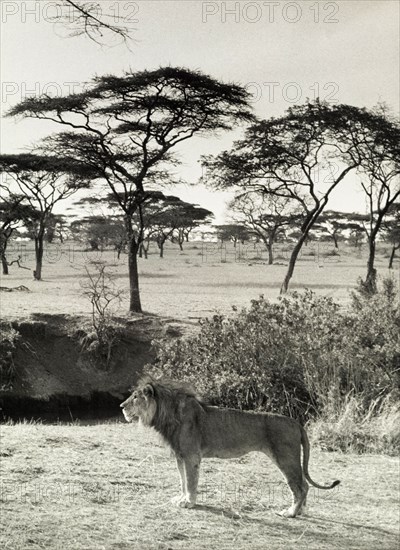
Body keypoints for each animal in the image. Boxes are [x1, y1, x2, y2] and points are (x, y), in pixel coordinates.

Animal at [120, 378, 340, 520]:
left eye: (135, 397)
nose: (121, 406)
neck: (166, 414)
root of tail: (296, 423)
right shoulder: (180, 455)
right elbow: (182, 481)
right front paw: (181, 499)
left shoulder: (191, 456)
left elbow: (190, 482)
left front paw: (189, 502)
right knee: (304, 484)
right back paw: (300, 511)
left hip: (285, 458)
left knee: (301, 486)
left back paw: (291, 513)